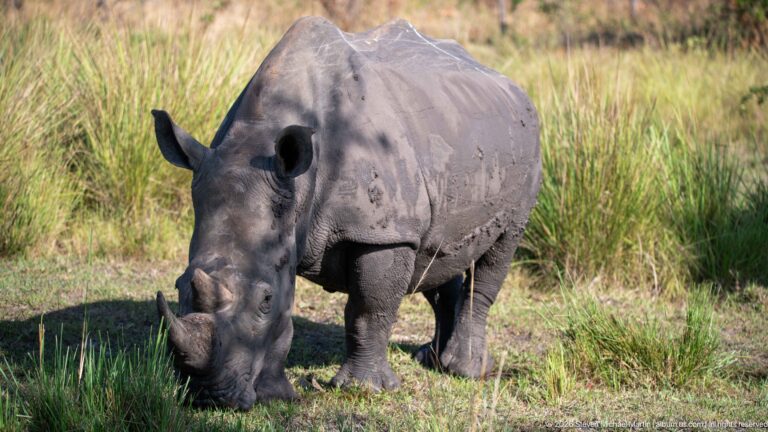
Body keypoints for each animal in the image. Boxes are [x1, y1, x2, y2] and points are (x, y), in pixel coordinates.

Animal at [152, 16, 541, 410]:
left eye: (264, 300)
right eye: (179, 285)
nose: (209, 396)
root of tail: (513, 86)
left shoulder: (384, 234)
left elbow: (367, 310)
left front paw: (363, 389)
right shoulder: (288, 224)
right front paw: (276, 396)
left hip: (524, 158)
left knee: (499, 249)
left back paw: (466, 371)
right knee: (437, 254)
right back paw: (431, 359)